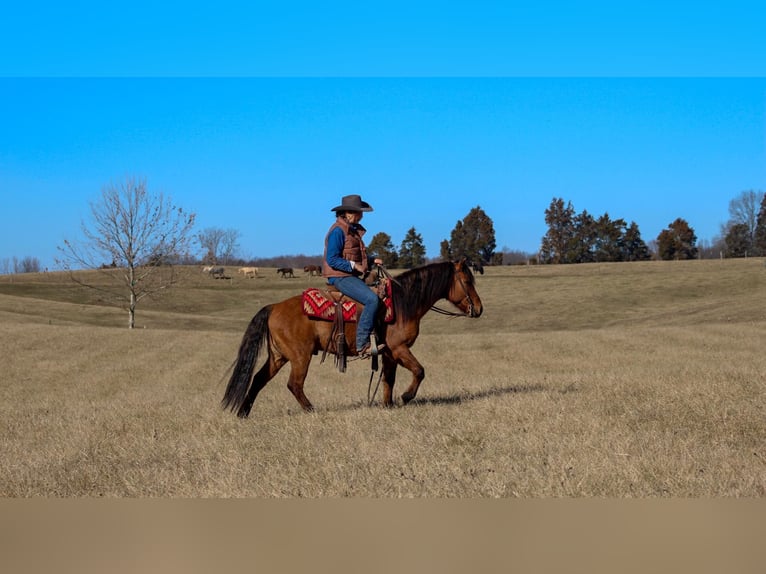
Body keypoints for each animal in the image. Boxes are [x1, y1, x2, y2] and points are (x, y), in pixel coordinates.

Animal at [222, 260, 484, 418]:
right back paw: (312, 410)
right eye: (467, 281)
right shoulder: (400, 349)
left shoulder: (389, 353)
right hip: (300, 356)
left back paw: (243, 413)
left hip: (278, 356)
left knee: (258, 379)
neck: (402, 303)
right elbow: (419, 371)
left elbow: (388, 380)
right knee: (294, 384)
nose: (479, 309)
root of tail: (273, 307)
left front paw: (388, 406)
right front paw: (406, 397)